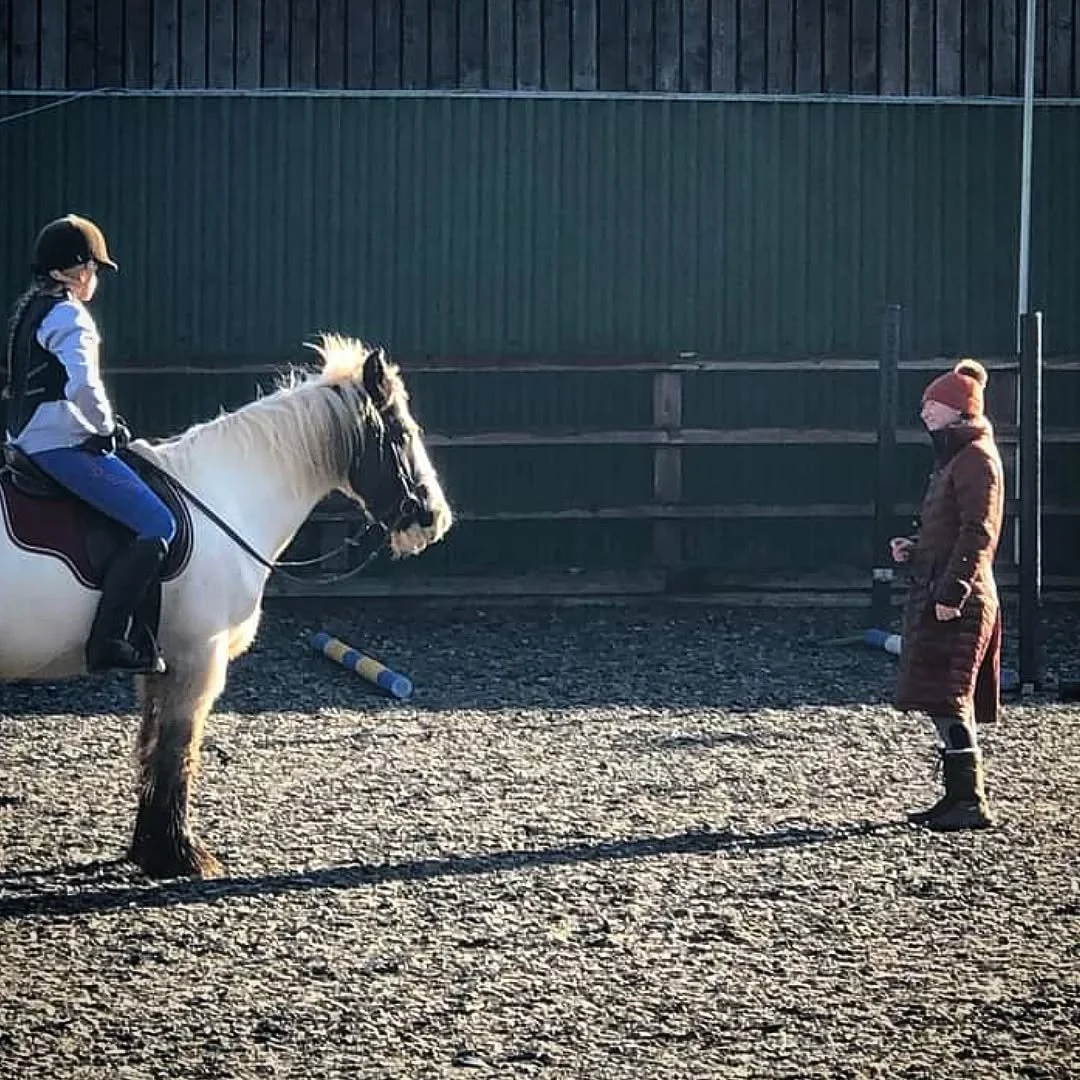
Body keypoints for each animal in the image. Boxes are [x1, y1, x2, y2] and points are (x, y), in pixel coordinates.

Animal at [0, 335, 452, 878]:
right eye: (402, 434)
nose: (432, 517)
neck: (225, 496)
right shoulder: (199, 656)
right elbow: (178, 750)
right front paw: (178, 853)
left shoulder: (162, 661)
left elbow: (152, 746)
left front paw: (150, 847)